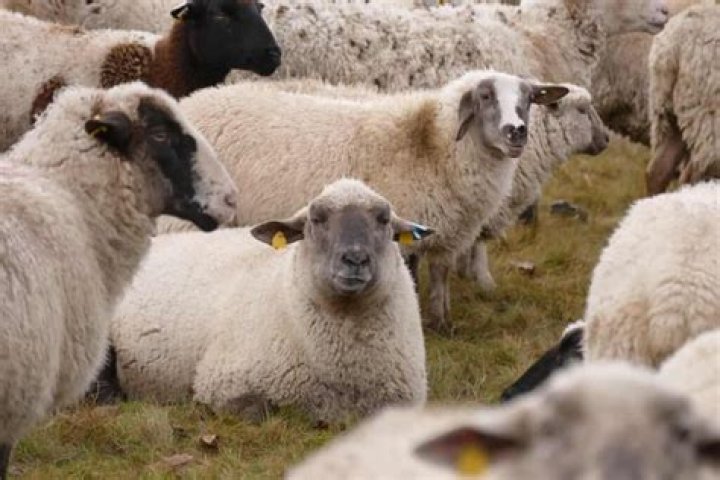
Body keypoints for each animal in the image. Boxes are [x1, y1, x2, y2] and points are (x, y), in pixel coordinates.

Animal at [166, 70, 570, 330]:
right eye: (485, 97)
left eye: (529, 99)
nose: (517, 132)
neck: (431, 144)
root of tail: (191, 101)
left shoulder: (448, 233)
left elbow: (440, 277)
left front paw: (442, 323)